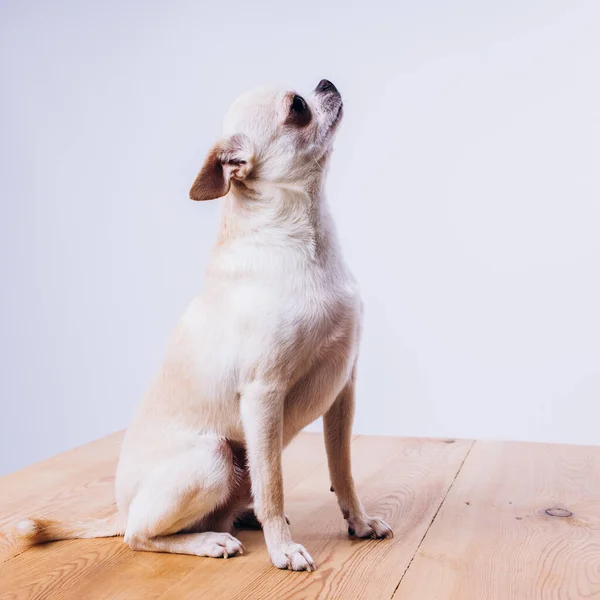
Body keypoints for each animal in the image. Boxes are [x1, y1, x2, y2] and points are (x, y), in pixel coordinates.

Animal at [15, 79, 394, 572]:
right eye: (297, 108)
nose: (326, 82)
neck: (304, 240)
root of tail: (120, 509)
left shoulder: (343, 388)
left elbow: (341, 468)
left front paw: (359, 522)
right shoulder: (264, 394)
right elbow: (274, 485)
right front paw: (283, 548)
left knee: (229, 499)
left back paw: (238, 519)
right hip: (215, 456)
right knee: (140, 535)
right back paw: (210, 541)